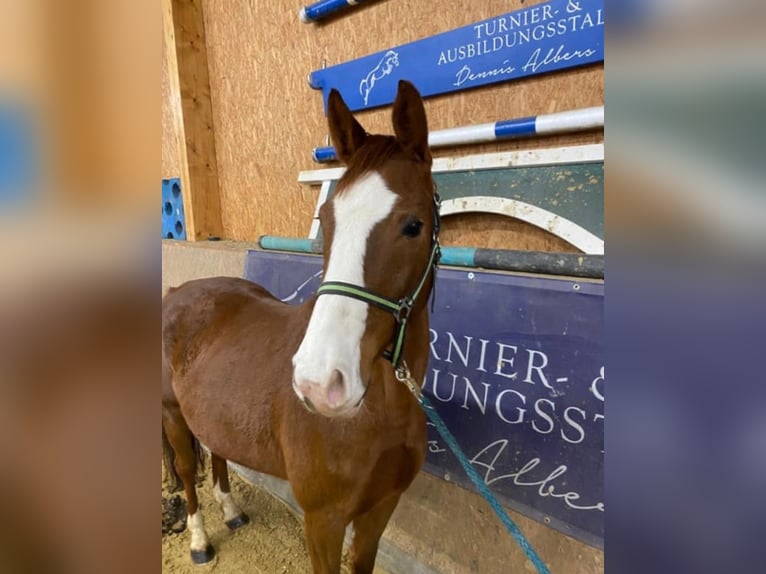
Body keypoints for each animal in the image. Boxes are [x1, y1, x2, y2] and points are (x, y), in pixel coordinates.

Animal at [162, 80, 439, 573]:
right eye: (325, 220)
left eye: (413, 225)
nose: (318, 383)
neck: (381, 409)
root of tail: (177, 290)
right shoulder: (323, 521)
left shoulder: (380, 509)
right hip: (173, 415)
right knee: (187, 472)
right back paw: (199, 539)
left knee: (217, 453)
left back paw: (231, 512)